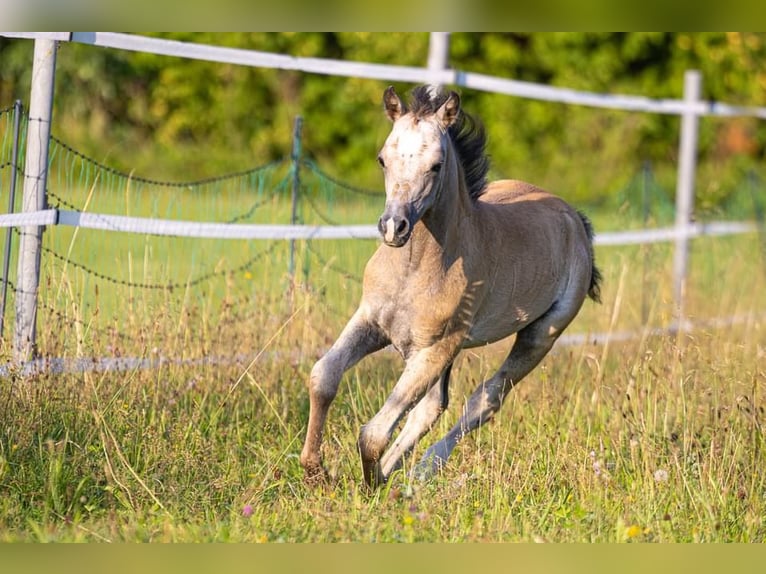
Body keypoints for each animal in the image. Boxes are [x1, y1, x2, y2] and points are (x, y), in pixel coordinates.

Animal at [302, 84, 608, 490]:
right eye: (382, 159)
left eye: (436, 164)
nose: (393, 226)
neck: (415, 269)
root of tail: (575, 219)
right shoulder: (372, 322)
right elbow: (324, 377)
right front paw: (315, 470)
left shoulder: (435, 348)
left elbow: (374, 433)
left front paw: (369, 487)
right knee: (432, 406)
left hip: (539, 336)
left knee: (485, 399)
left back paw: (419, 472)